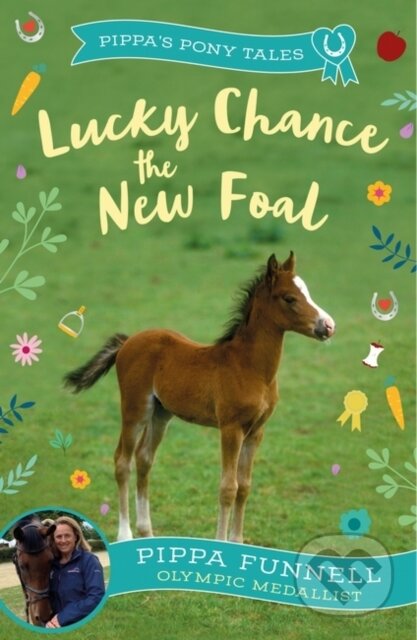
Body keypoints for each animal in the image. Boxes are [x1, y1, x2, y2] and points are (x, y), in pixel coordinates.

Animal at [64, 252, 335, 543]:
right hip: (135, 409)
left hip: (161, 413)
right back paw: (125, 535)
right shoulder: (230, 428)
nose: (329, 326)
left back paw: (147, 533)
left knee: (144, 459)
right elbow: (228, 488)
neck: (250, 367)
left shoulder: (256, 431)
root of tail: (128, 342)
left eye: (307, 292)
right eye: (289, 298)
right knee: (122, 462)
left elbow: (244, 487)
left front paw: (238, 542)